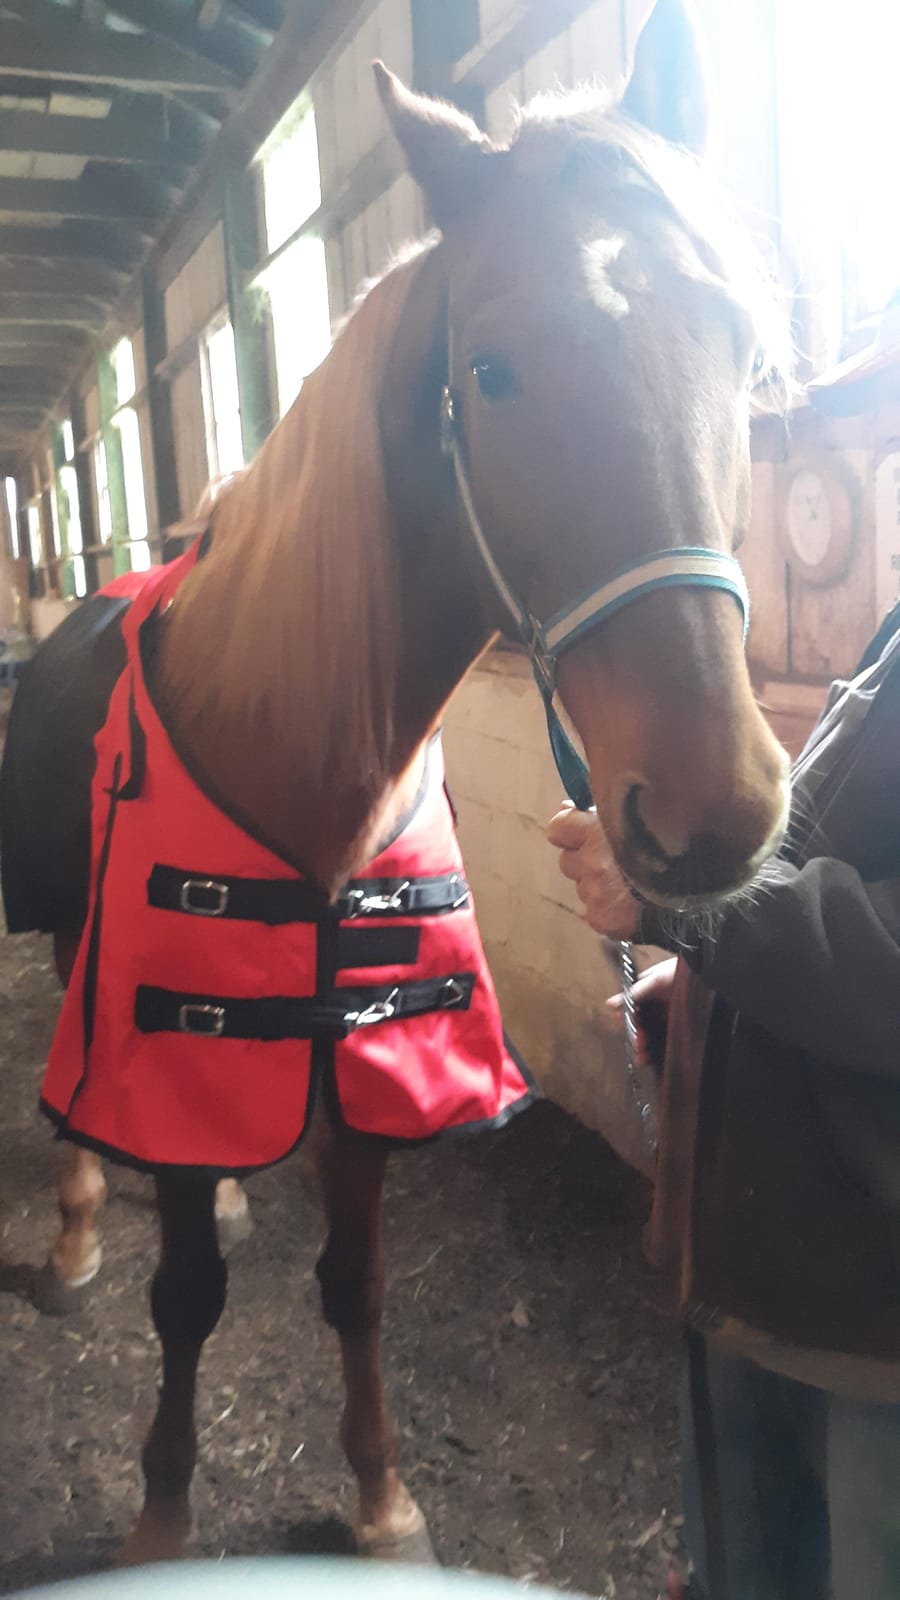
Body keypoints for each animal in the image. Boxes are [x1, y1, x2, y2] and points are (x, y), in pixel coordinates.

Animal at [0, 0, 791, 1568]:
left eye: (739, 342)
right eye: (488, 371)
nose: (713, 810)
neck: (299, 743)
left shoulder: (359, 1054)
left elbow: (354, 1282)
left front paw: (380, 1498)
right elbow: (185, 1298)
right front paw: (164, 1513)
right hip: (73, 938)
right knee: (81, 1085)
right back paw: (75, 1227)